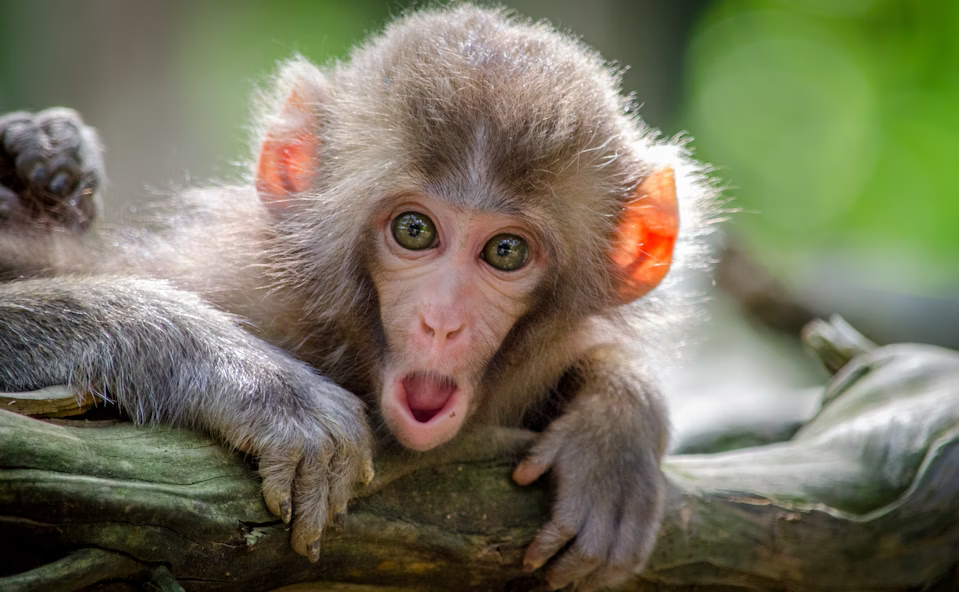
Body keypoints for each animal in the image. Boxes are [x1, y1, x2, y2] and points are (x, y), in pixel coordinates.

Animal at [0, 6, 715, 591]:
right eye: (414, 230)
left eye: (506, 252)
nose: (442, 321)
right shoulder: (236, 281)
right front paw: (258, 384)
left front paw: (616, 427)